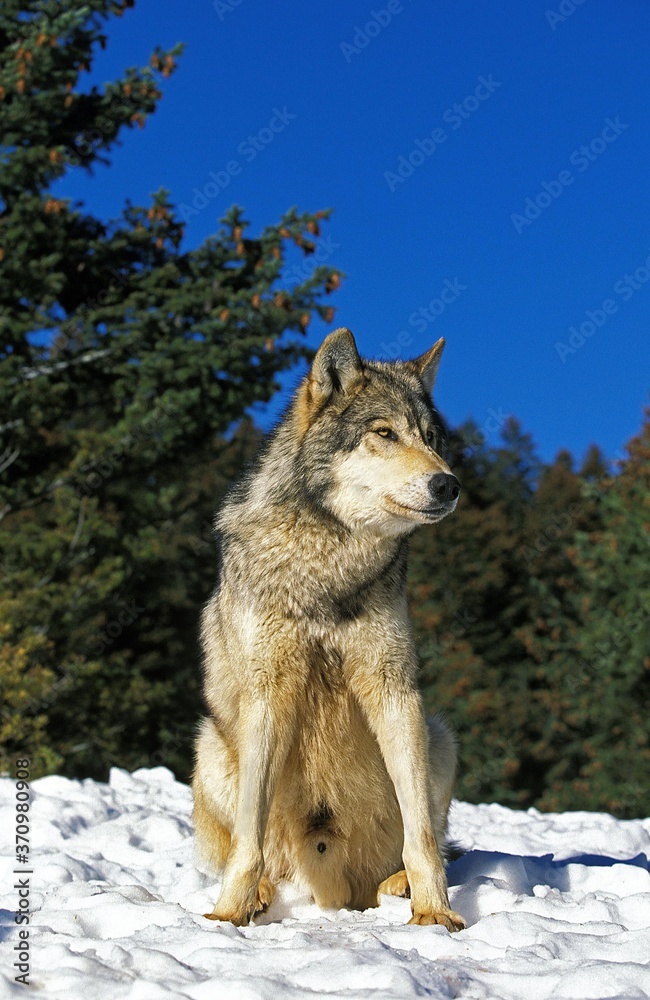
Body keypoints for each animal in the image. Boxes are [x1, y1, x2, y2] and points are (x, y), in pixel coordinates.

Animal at [192, 328, 465, 930]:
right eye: (384, 433)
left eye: (431, 438)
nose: (449, 484)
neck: (328, 567)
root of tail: (336, 891)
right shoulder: (269, 693)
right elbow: (248, 839)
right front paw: (227, 915)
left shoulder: (394, 691)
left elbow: (422, 836)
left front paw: (435, 914)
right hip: (211, 747)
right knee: (258, 852)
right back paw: (262, 894)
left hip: (439, 734)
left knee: (424, 841)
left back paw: (395, 885)